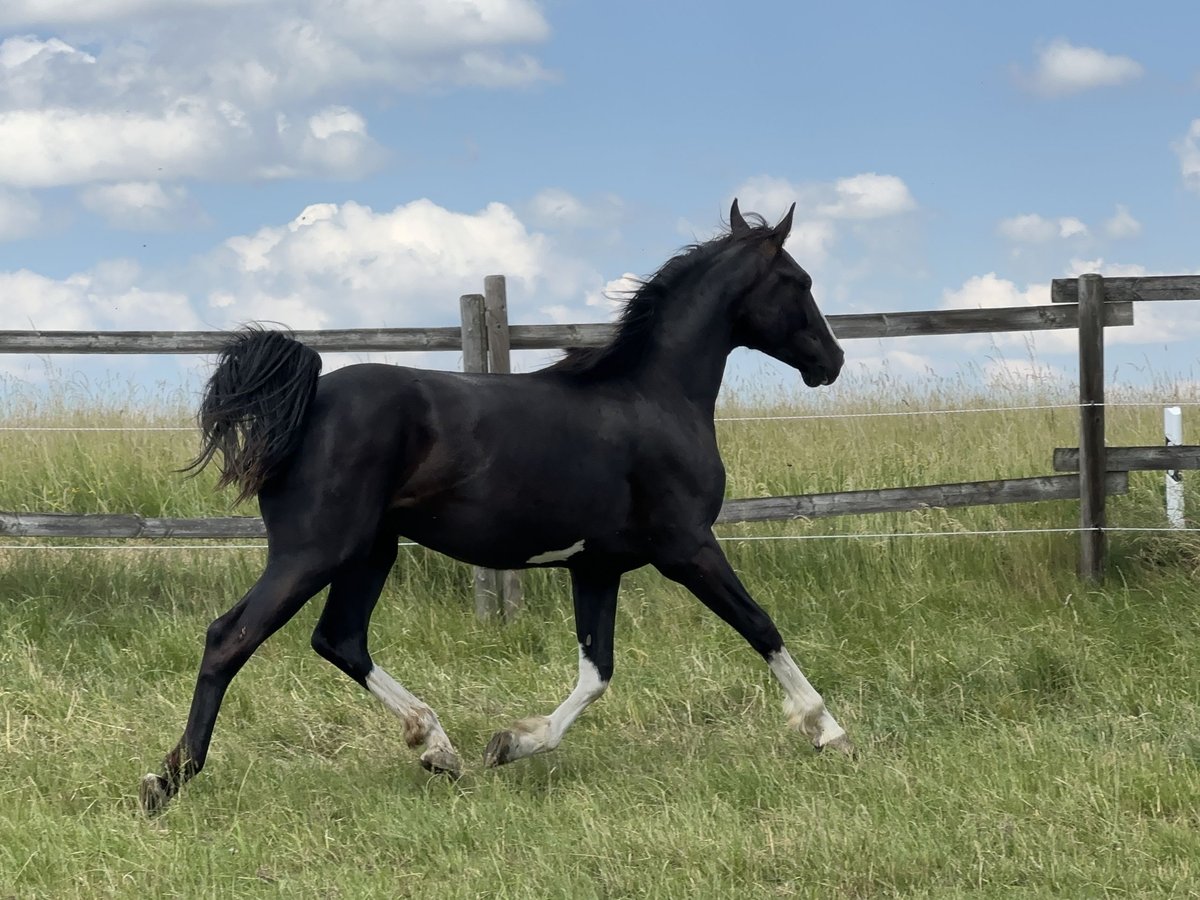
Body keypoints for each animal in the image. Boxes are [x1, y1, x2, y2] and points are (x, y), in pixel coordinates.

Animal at [140, 199, 854, 816]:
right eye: (798, 280)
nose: (833, 360)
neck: (654, 398)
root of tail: (307, 398)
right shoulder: (687, 546)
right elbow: (760, 626)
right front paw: (828, 731)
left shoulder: (597, 566)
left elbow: (597, 671)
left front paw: (511, 743)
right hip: (314, 551)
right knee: (230, 638)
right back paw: (167, 781)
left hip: (369, 551)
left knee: (339, 638)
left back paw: (438, 747)